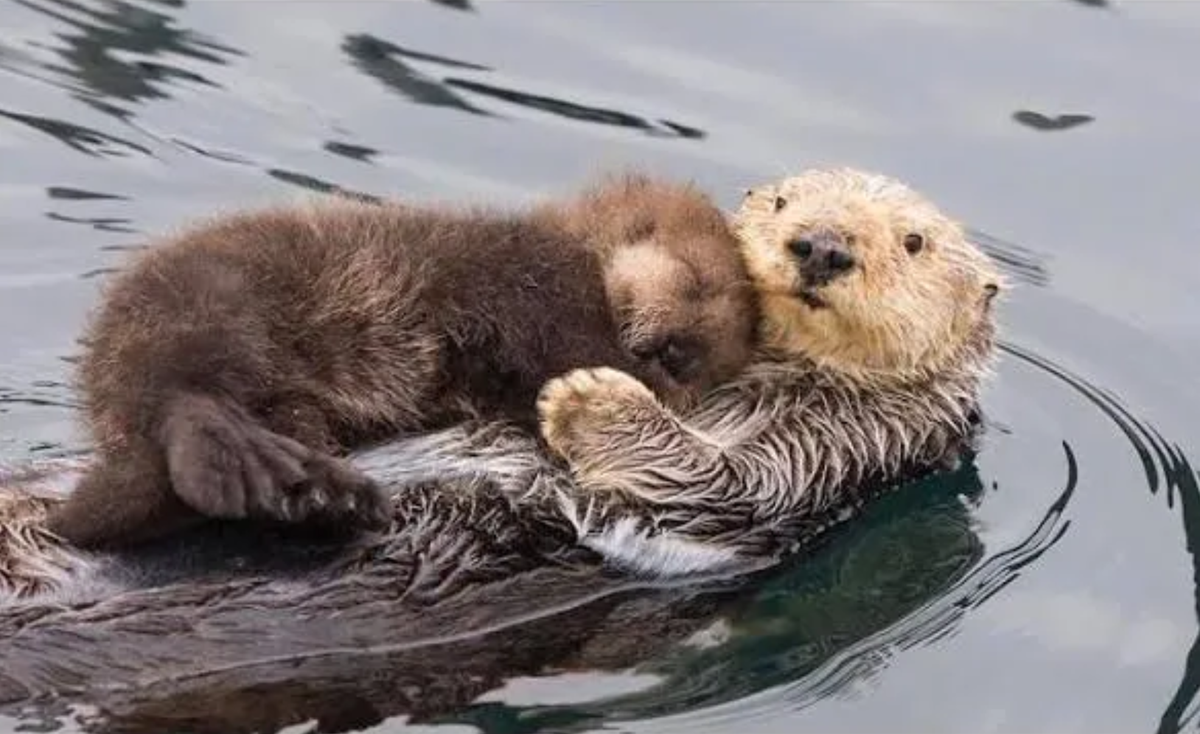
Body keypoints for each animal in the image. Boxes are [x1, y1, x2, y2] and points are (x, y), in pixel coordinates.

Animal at [45, 173, 759, 550]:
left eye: (706, 356)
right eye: (696, 282)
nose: (678, 350)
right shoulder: (539, 279)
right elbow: (568, 343)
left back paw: (317, 493)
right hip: (209, 300)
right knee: (182, 395)